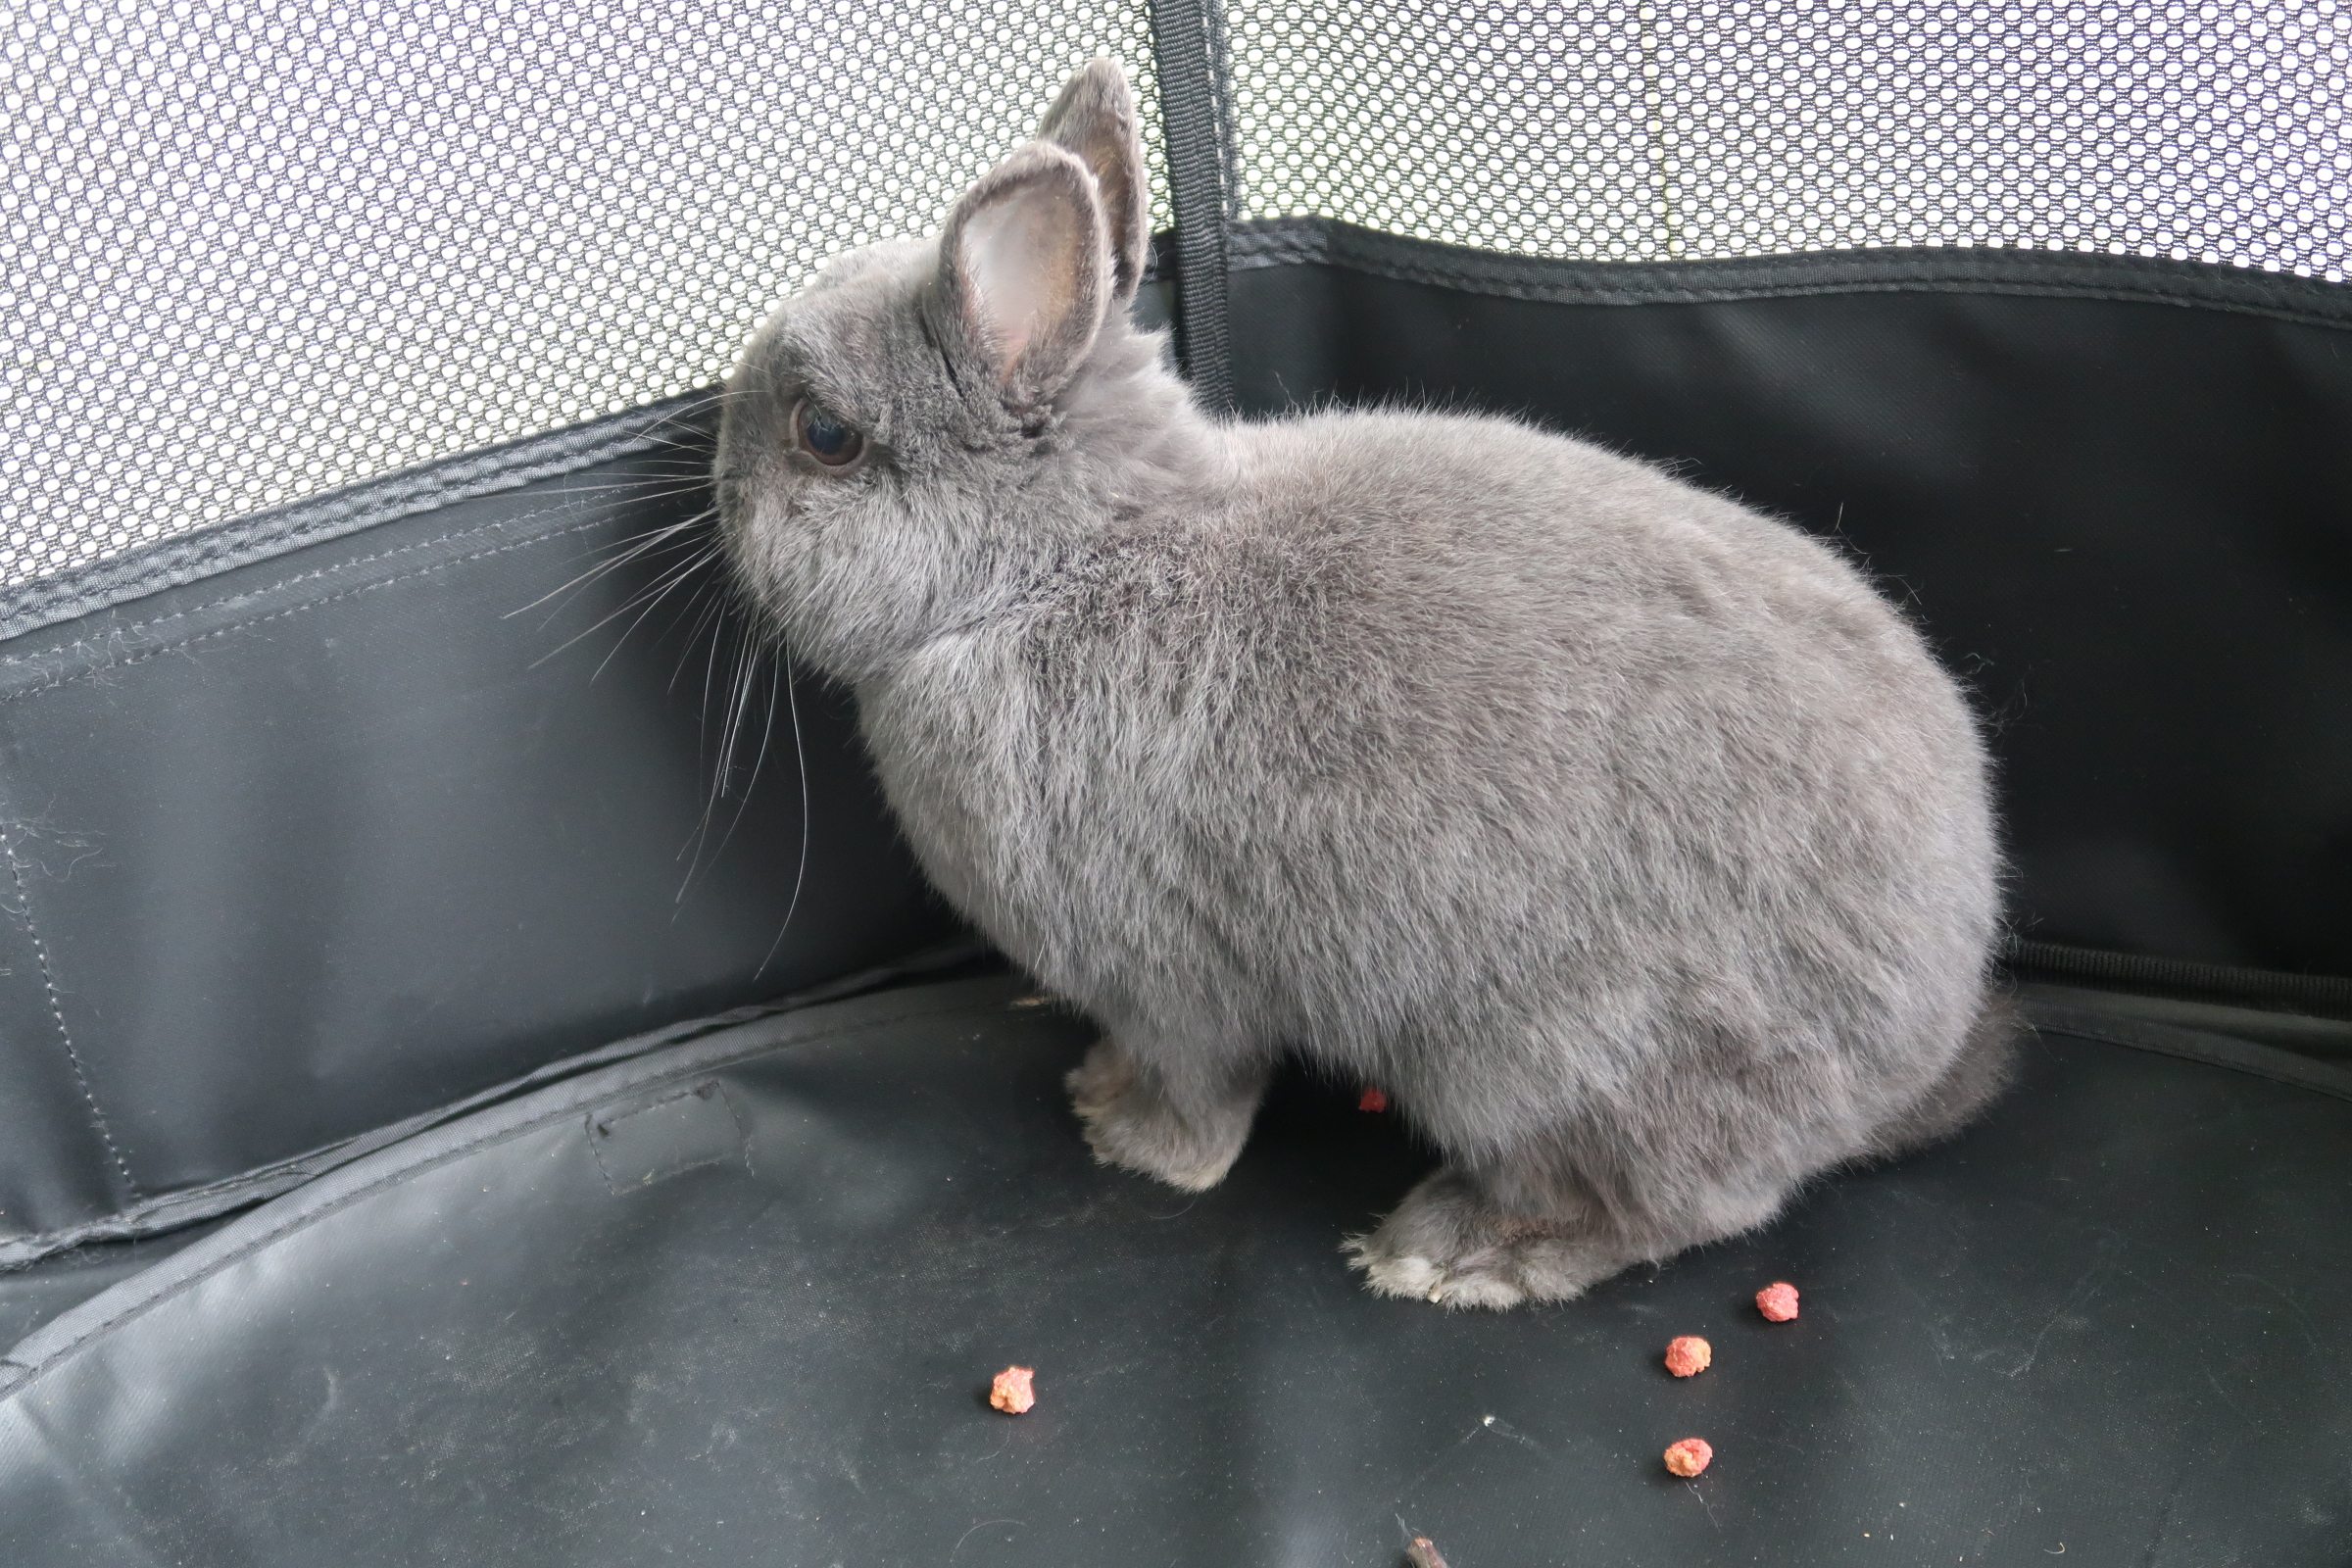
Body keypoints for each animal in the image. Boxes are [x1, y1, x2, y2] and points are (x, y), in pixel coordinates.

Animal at [714, 58, 2017, 1309]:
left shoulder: (1158, 971)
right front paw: (1097, 1088)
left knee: (1673, 1204)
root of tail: (1930, 1021)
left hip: (1561, 1060)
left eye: (824, 434)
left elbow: (1197, 1086)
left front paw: (1131, 1142)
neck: (1059, 562)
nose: (717, 486)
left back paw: (1452, 1255)